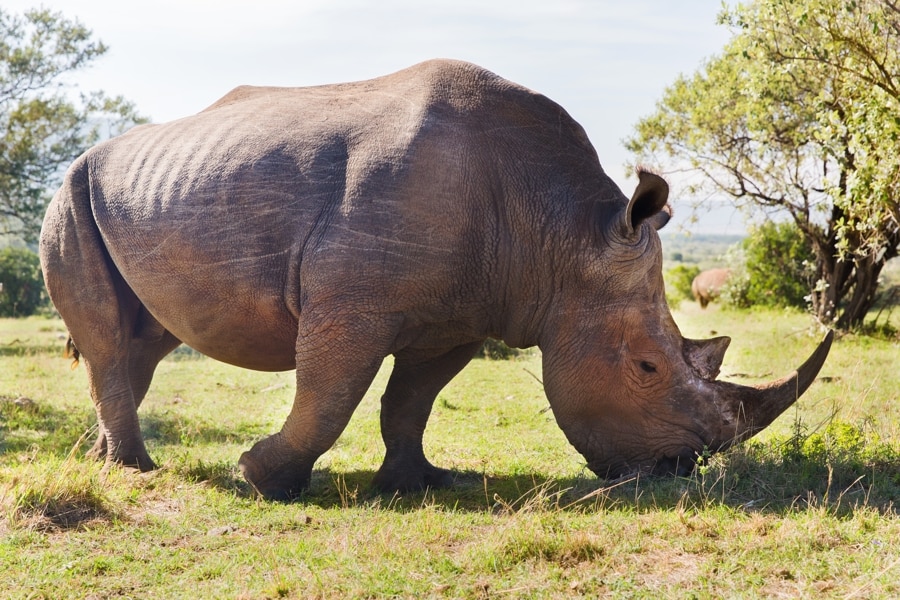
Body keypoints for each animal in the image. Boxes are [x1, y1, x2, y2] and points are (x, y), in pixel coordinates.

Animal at [38, 61, 832, 502]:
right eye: (644, 368)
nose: (679, 469)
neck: (560, 233)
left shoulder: (463, 313)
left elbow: (410, 401)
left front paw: (419, 482)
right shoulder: (350, 304)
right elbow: (329, 394)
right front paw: (263, 479)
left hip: (139, 192)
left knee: (142, 343)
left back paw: (108, 461)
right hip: (70, 193)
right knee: (111, 341)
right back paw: (137, 472)